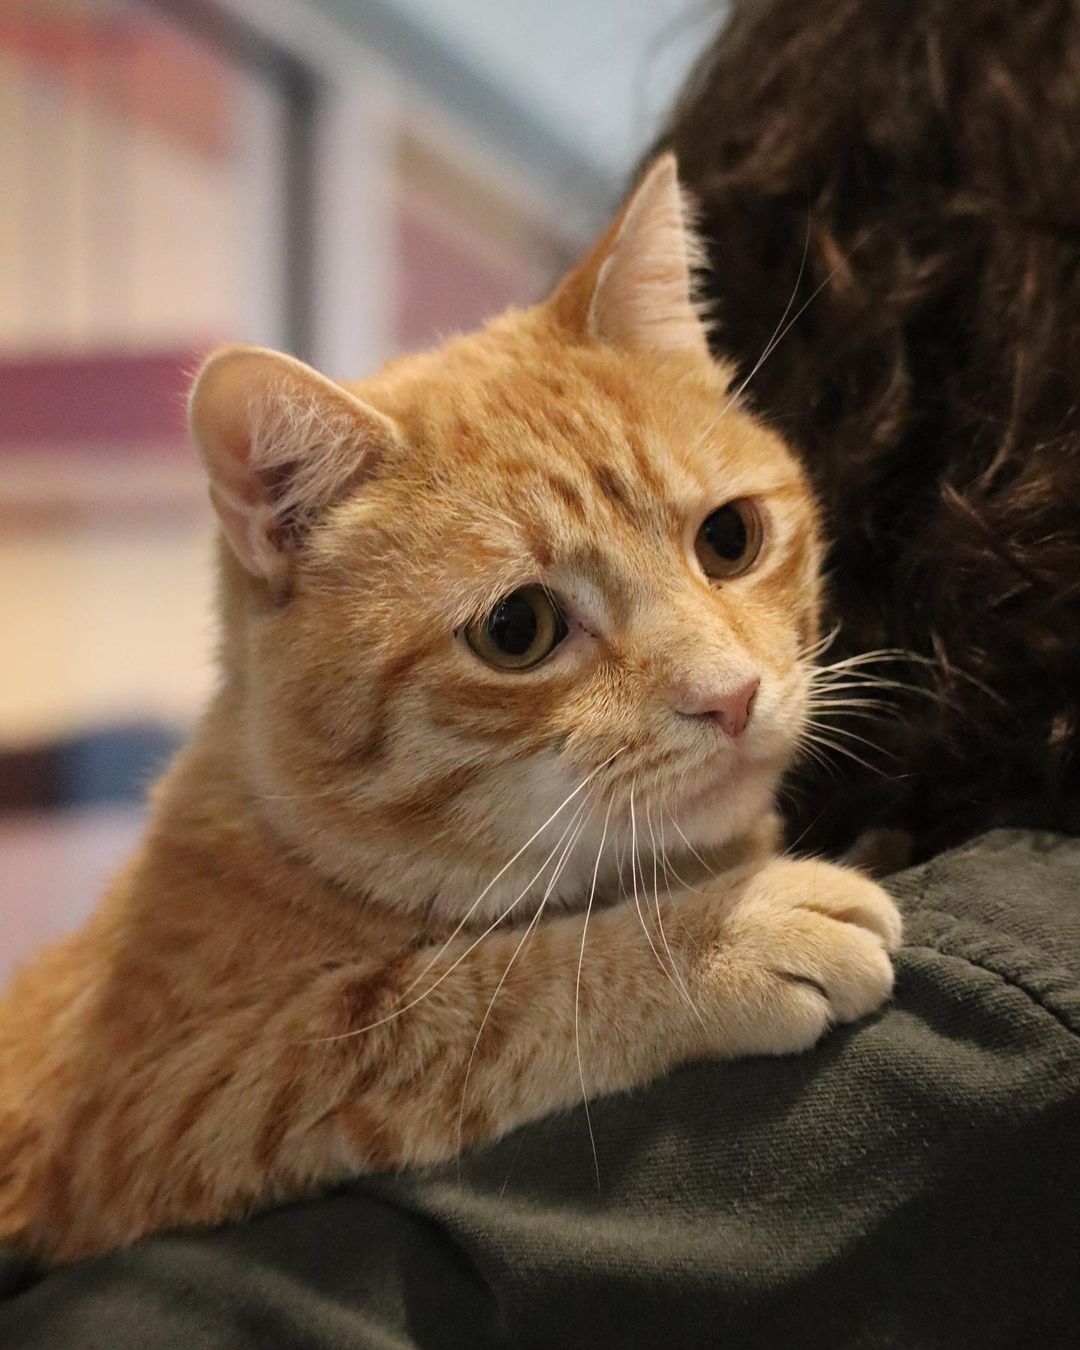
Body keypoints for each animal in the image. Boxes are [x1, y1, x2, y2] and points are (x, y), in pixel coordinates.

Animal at [0, 157, 901, 1263]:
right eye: (519, 629)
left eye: (730, 538)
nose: (730, 697)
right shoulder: (161, 1106)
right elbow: (452, 1007)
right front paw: (722, 938)